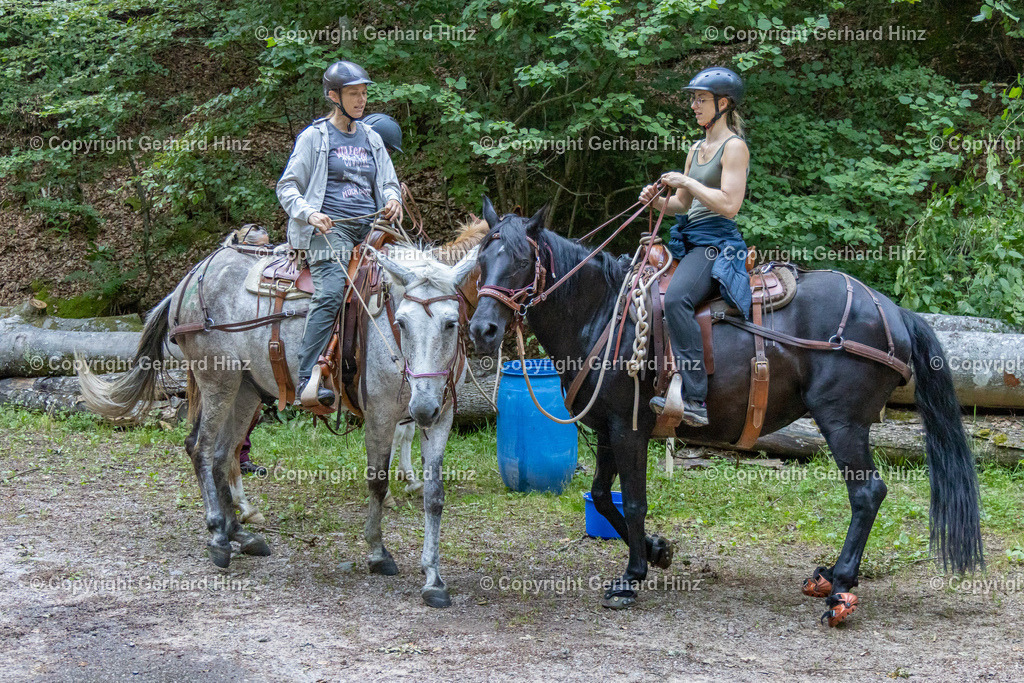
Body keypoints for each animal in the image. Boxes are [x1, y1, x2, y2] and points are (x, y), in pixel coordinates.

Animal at [471, 196, 983, 626]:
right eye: (480, 261)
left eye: (521, 261)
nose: (482, 329)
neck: (603, 315)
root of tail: (893, 312)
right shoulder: (607, 428)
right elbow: (601, 496)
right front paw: (656, 551)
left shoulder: (629, 428)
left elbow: (633, 501)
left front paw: (631, 577)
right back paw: (829, 577)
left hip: (843, 424)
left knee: (867, 494)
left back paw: (840, 587)